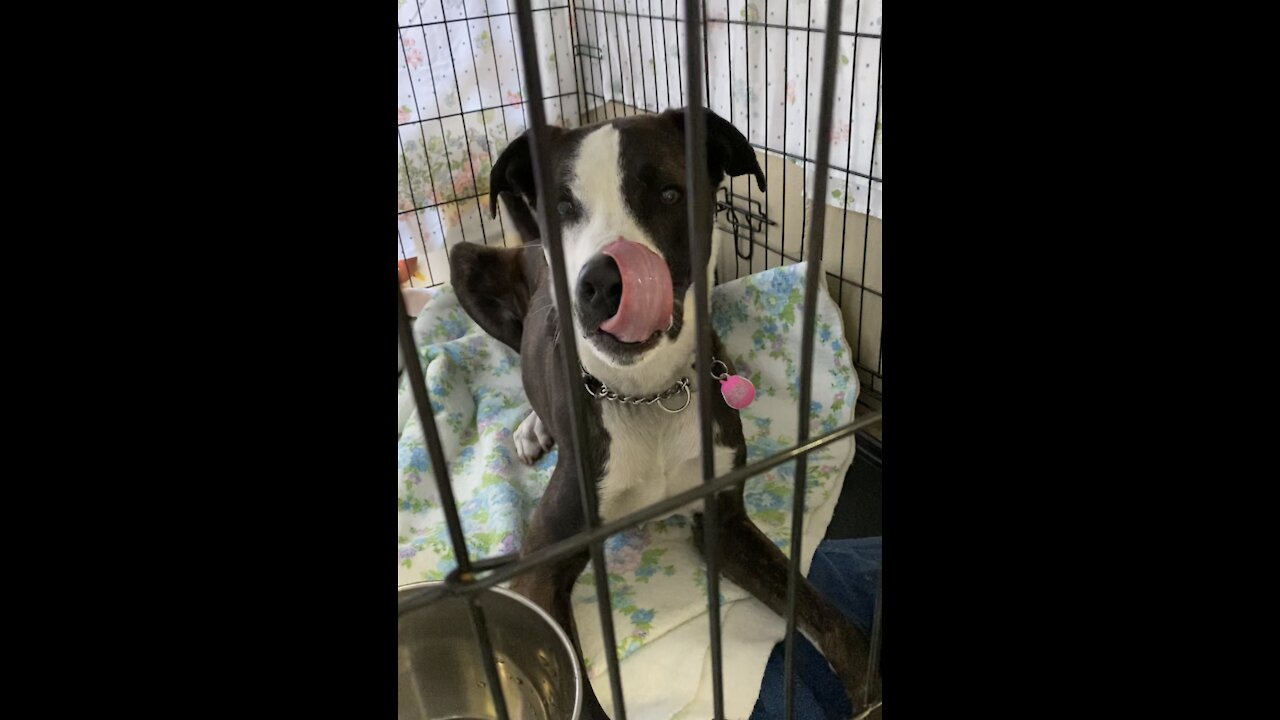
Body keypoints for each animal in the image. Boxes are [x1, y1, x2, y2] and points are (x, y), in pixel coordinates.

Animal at [450, 107, 880, 717]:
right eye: (563, 207)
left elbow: (830, 618)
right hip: (467, 265)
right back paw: (533, 425)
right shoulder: (540, 567)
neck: (646, 393)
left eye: (671, 194)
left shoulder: (724, 523)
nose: (604, 282)